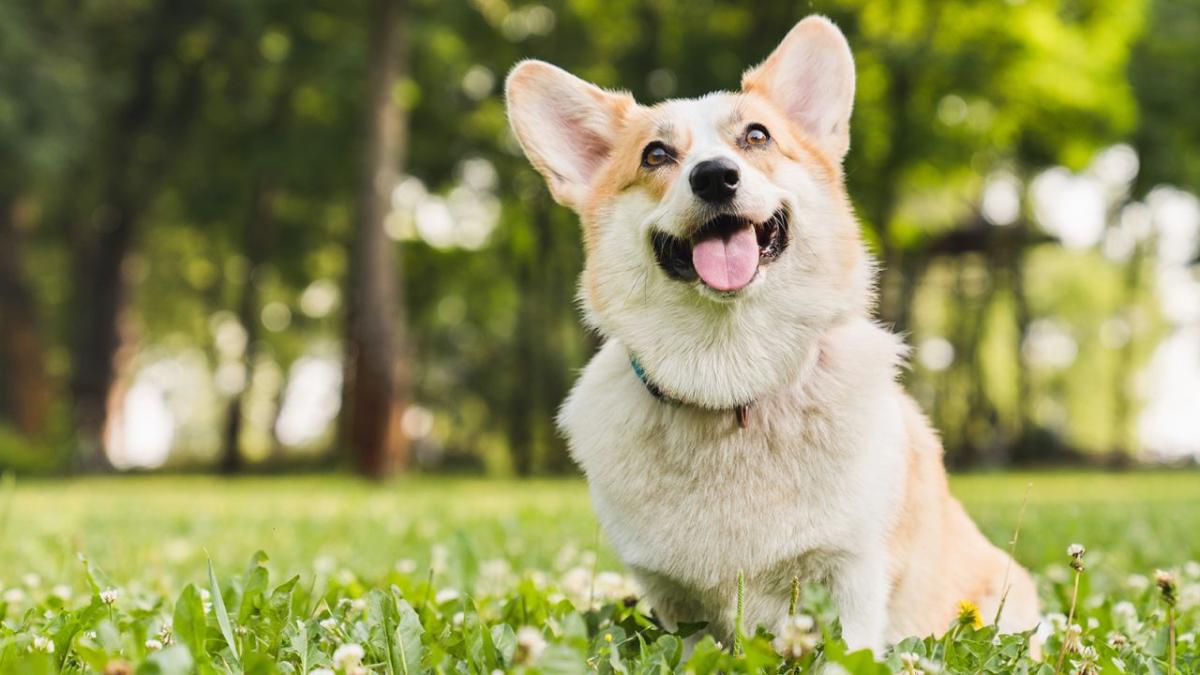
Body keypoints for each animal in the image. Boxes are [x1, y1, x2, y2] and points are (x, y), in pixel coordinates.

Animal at [501, 15, 1036, 648]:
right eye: (656, 154)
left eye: (757, 137)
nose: (714, 177)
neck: (731, 379)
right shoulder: (672, 598)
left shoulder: (852, 574)